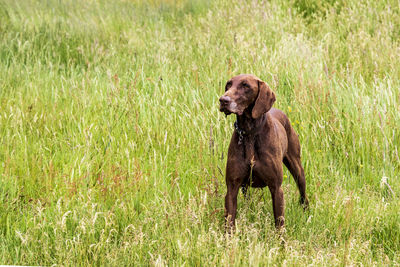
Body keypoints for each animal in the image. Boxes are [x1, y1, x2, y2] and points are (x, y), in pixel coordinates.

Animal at [220, 74, 308, 229]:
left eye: (246, 86)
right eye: (228, 85)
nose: (223, 100)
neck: (249, 133)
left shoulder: (276, 188)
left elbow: (279, 223)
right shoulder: (232, 187)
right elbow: (229, 221)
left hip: (297, 168)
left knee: (303, 192)